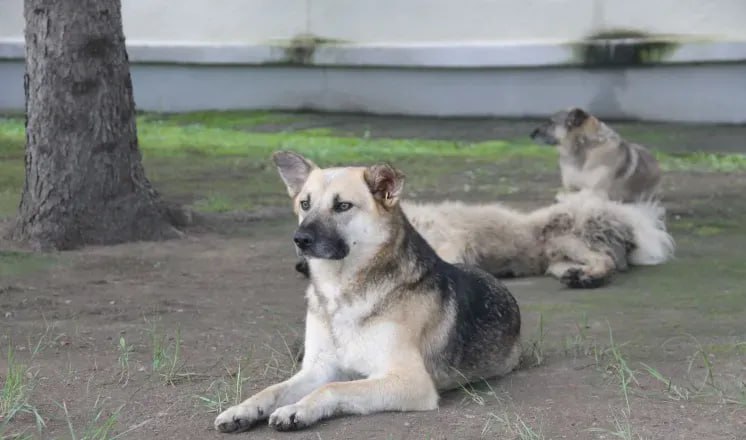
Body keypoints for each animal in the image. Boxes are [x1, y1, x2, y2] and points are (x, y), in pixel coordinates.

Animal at [212, 151, 520, 434]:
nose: (299, 240)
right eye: (305, 204)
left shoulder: (410, 381)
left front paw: (297, 409)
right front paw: (242, 409)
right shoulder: (317, 368)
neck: (339, 291)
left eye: (342, 206)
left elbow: (333, 388)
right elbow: (273, 389)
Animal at [298, 192, 676, 288]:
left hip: (563, 236)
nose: (300, 266)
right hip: (554, 256)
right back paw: (576, 276)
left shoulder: (452, 242)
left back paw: (589, 278)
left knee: (606, 261)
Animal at [528, 107, 660, 204]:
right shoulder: (570, 187)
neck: (583, 145)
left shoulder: (597, 192)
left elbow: (573, 195)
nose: (531, 134)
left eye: (551, 122)